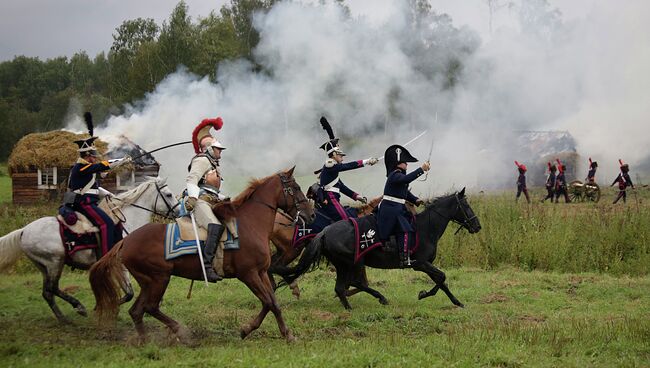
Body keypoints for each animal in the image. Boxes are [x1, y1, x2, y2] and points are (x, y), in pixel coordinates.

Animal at [0, 177, 178, 324]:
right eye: (169, 194)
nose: (178, 211)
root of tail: (24, 230)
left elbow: (129, 293)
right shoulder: (120, 264)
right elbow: (128, 294)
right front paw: (100, 309)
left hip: (44, 266)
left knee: (48, 292)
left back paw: (63, 318)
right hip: (55, 262)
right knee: (52, 288)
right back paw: (78, 307)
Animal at [89, 168, 314, 344]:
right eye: (295, 188)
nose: (310, 214)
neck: (250, 224)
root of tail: (125, 241)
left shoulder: (261, 273)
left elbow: (272, 302)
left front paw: (275, 332)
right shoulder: (249, 274)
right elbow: (269, 302)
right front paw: (259, 331)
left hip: (148, 282)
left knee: (137, 311)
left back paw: (145, 341)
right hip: (159, 279)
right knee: (150, 307)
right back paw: (182, 333)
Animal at [276, 188, 478, 310]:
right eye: (465, 206)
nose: (477, 226)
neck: (425, 228)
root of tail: (325, 232)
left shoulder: (425, 265)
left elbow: (441, 281)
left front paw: (457, 302)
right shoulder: (419, 263)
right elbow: (441, 277)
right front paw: (423, 294)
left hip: (345, 264)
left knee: (344, 287)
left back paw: (354, 306)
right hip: (352, 263)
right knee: (350, 284)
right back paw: (375, 299)